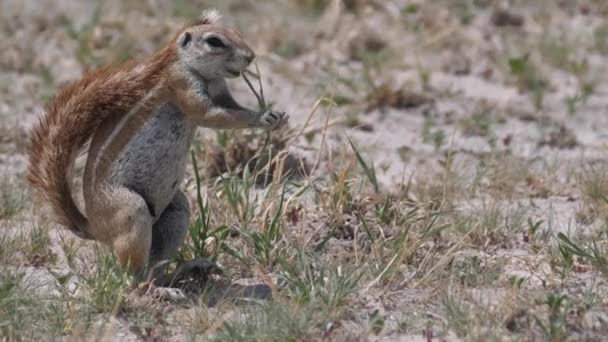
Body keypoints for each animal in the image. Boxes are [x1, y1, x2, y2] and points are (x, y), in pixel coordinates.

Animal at [26, 10, 288, 284]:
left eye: (237, 32)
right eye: (214, 41)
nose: (250, 57)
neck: (193, 68)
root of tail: (95, 228)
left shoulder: (220, 91)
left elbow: (231, 106)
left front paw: (276, 116)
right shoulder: (183, 85)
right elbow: (215, 116)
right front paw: (262, 117)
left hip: (177, 208)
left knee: (156, 265)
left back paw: (185, 271)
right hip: (131, 210)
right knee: (133, 275)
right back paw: (156, 285)